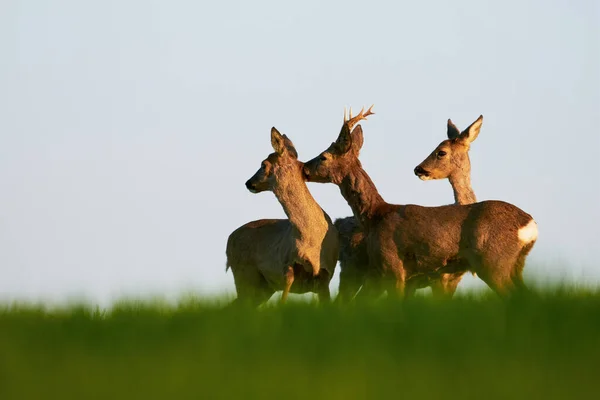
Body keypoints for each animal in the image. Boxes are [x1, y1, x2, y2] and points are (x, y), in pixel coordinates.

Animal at [225, 128, 338, 306]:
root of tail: (228, 241)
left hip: (261, 287)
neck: (311, 239)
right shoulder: (286, 270)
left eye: (263, 164)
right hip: (245, 275)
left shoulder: (325, 277)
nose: (248, 182)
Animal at [304, 106, 540, 300]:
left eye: (323, 156)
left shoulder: (394, 268)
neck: (376, 215)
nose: (303, 167)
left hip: (493, 261)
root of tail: (530, 225)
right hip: (515, 264)